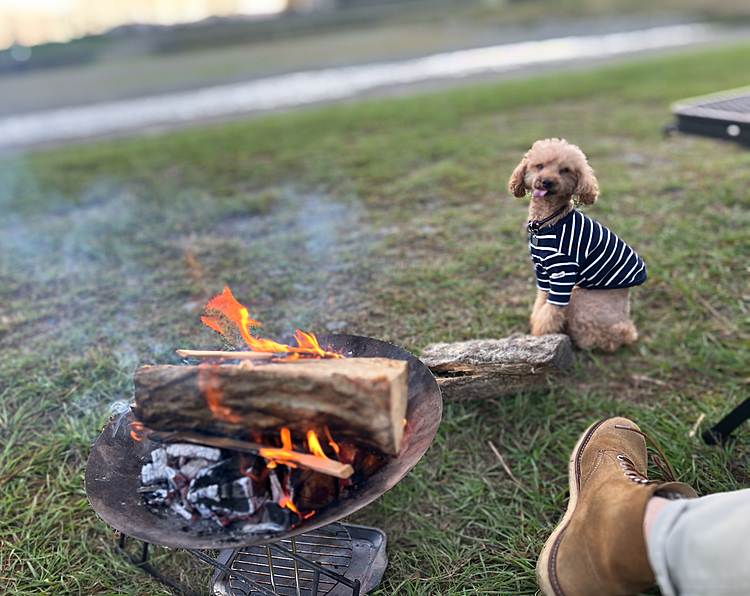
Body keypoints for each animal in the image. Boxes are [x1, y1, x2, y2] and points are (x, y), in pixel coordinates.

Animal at [512, 140, 648, 352]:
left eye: (565, 170)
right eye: (539, 166)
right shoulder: (543, 273)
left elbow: (550, 312)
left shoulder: (563, 275)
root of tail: (626, 327)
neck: (547, 222)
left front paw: (540, 336)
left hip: (580, 298)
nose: (546, 181)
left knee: (595, 336)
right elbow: (540, 304)